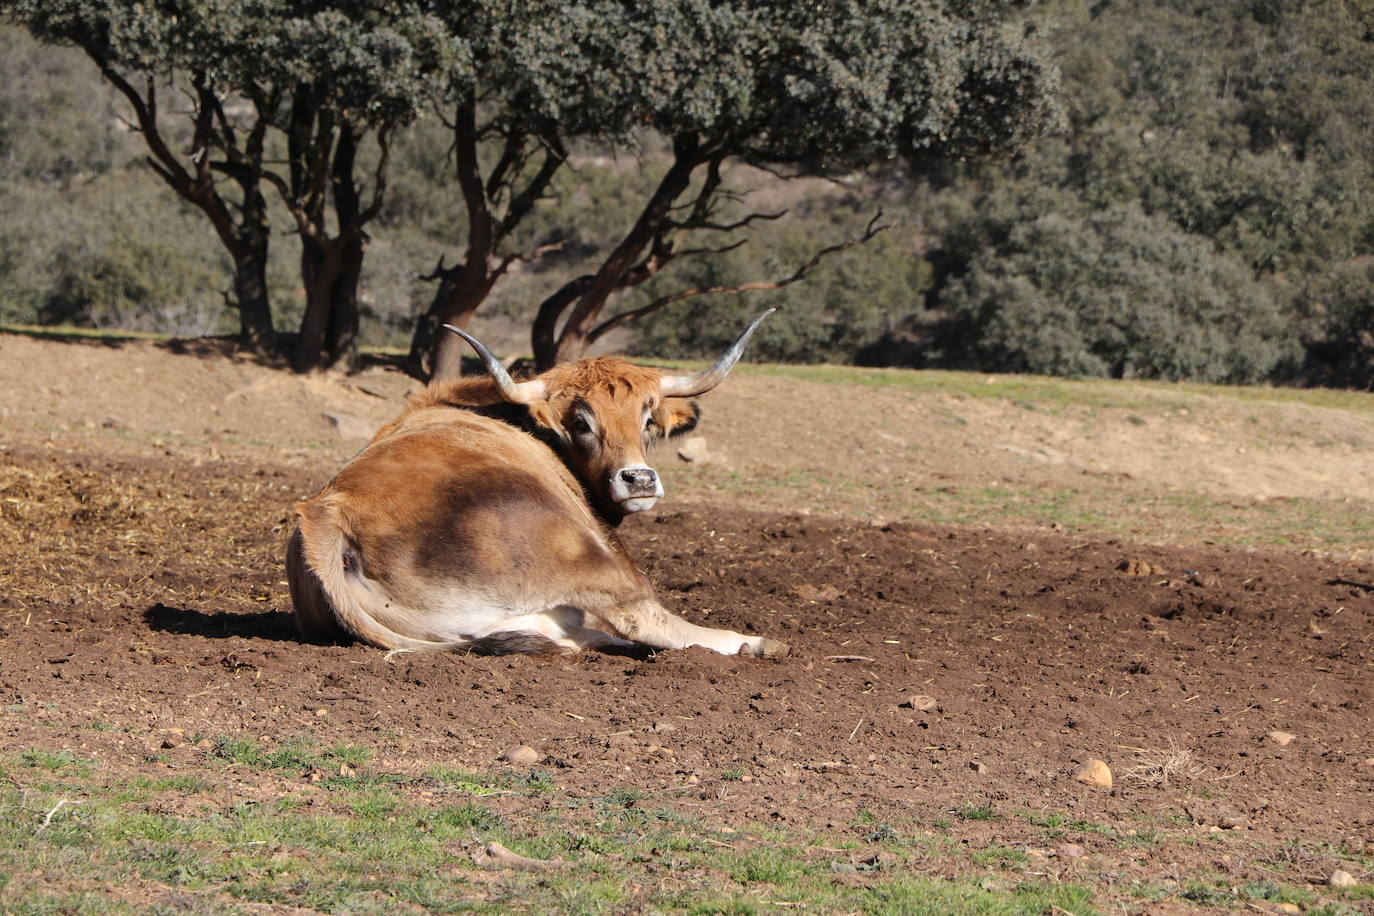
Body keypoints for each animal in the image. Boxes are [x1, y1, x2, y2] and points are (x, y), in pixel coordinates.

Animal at [284, 311, 791, 656]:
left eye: (648, 421)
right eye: (581, 423)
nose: (640, 480)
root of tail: (330, 512)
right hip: (587, 558)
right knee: (639, 616)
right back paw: (754, 642)